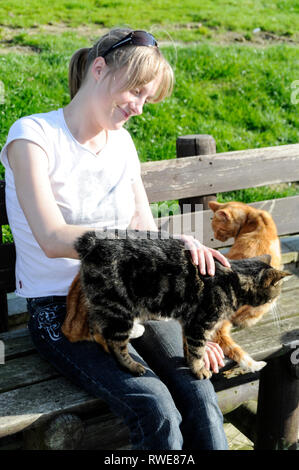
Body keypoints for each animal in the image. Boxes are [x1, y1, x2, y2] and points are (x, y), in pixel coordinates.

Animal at [61, 229, 288, 380]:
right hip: (119, 309)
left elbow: (189, 346)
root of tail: (92, 242)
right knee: (115, 343)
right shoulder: (200, 323)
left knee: (96, 327)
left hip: (104, 306)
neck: (233, 280)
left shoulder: (190, 321)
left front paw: (190, 362)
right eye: (275, 293)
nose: (277, 301)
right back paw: (133, 366)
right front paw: (199, 369)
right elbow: (197, 349)